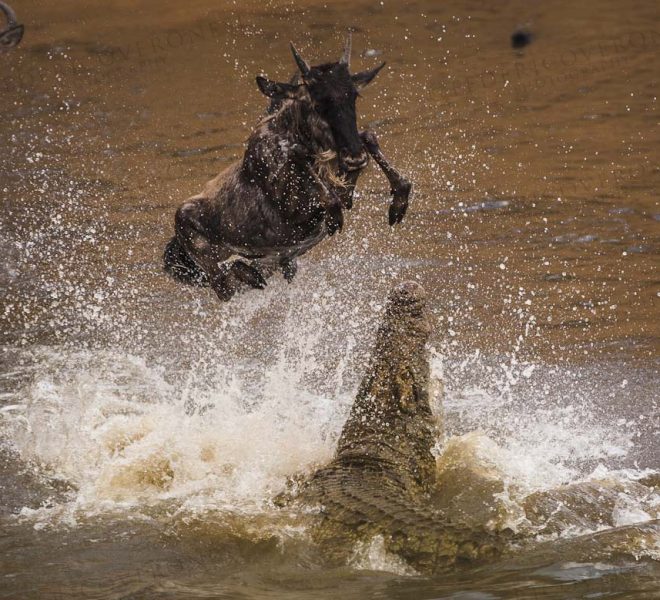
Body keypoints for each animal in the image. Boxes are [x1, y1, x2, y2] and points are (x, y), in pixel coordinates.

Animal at [164, 36, 412, 302]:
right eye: (316, 102)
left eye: (353, 96)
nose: (354, 157)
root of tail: (175, 242)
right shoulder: (295, 215)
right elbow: (304, 164)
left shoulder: (344, 187)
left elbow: (369, 138)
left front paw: (398, 205)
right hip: (213, 263)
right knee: (226, 279)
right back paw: (247, 272)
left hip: (268, 261)